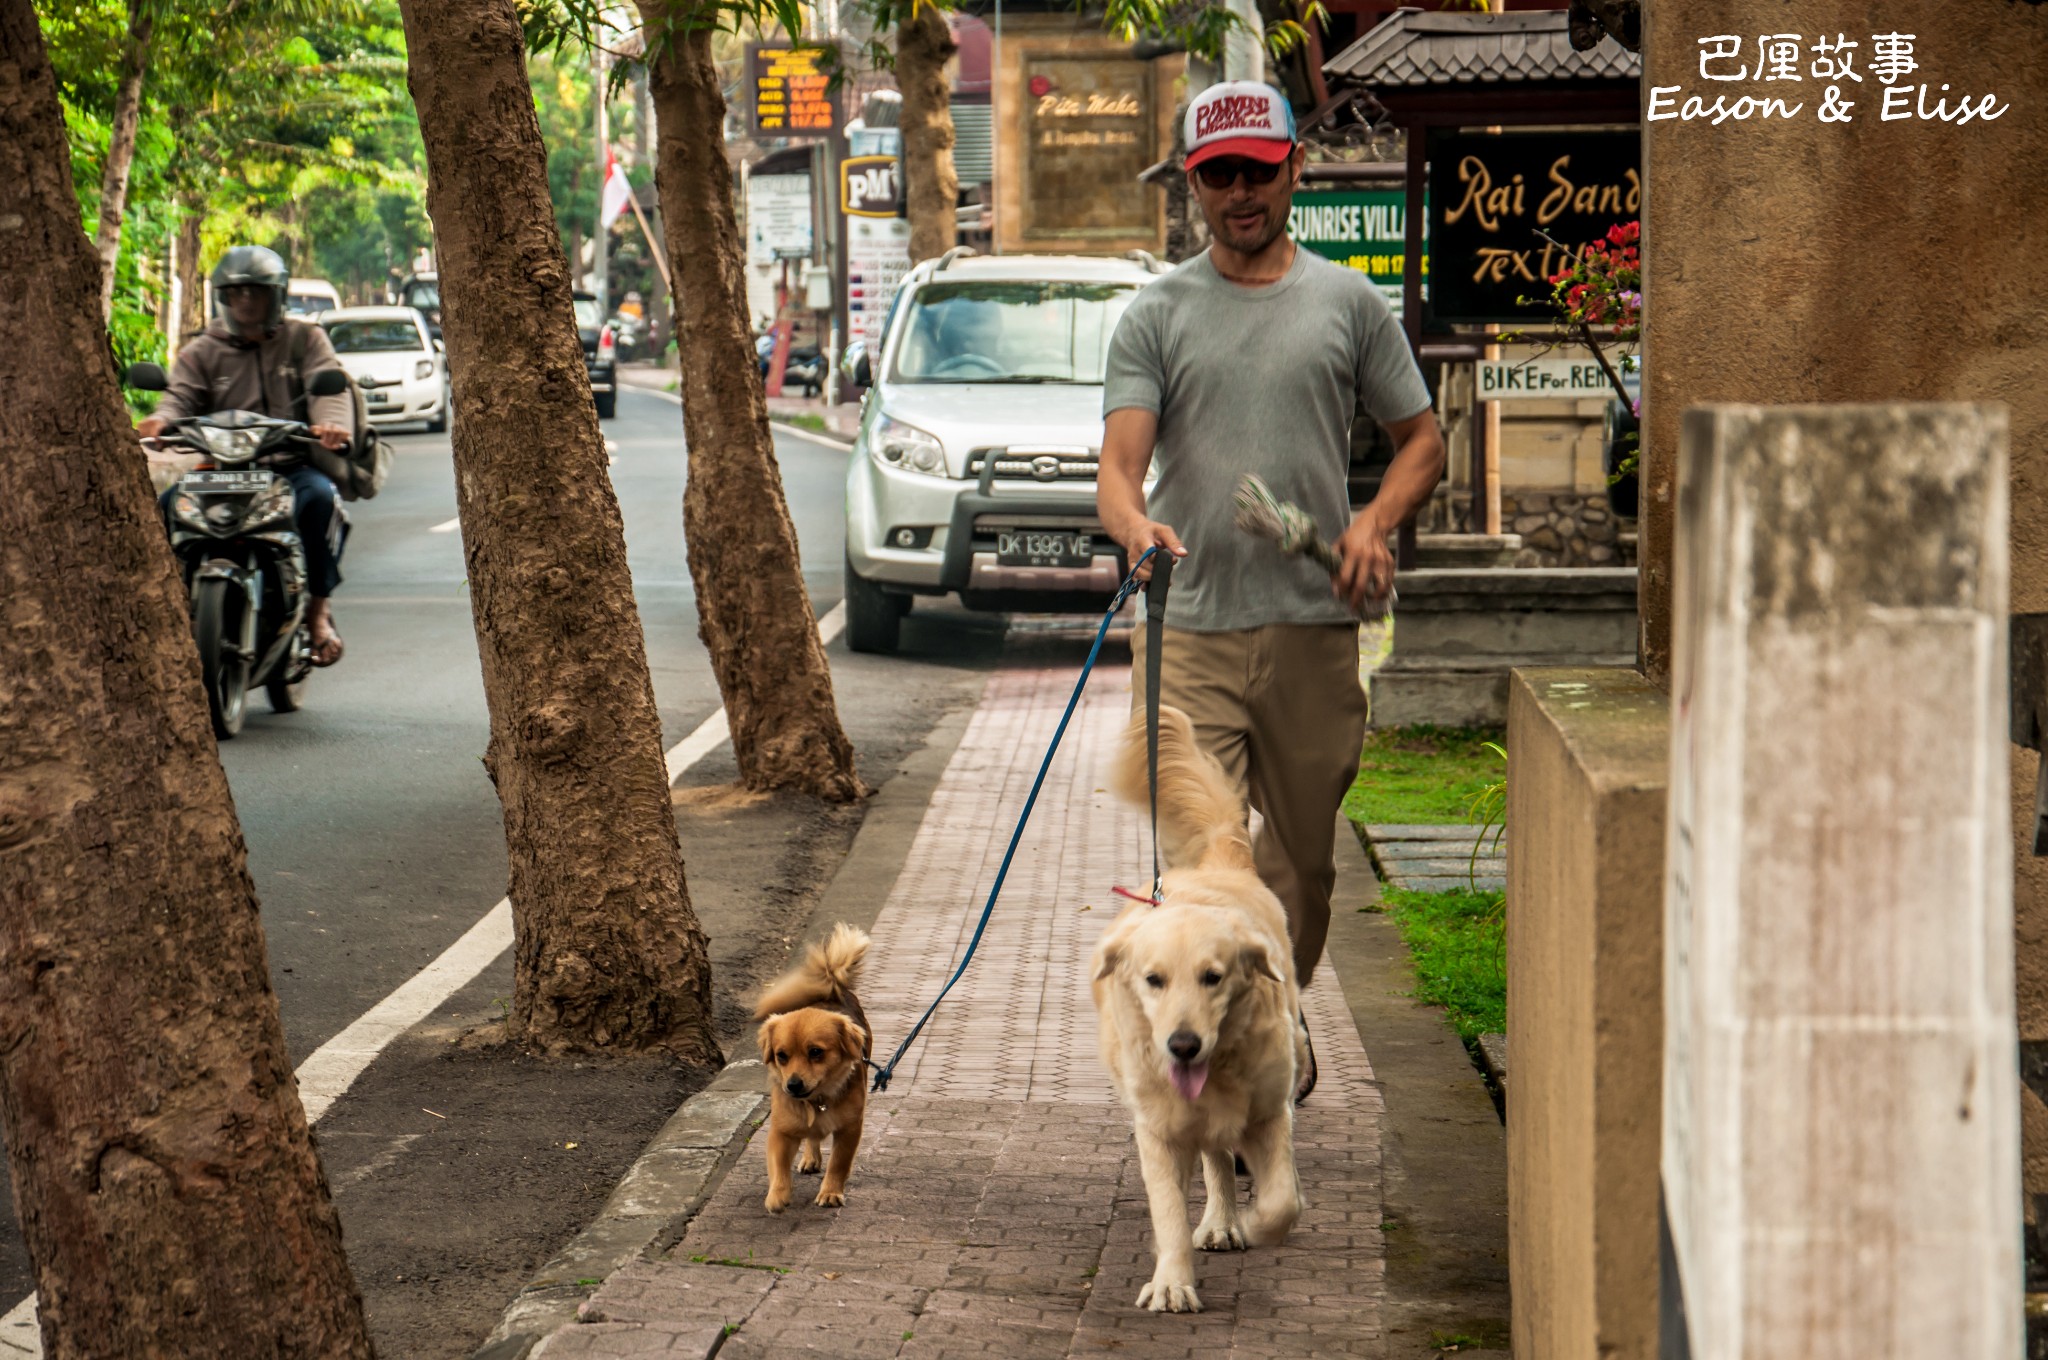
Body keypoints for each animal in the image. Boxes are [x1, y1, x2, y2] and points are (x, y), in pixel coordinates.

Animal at [761, 925, 872, 1212]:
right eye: (781, 1056)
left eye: (815, 1052)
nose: (793, 1085)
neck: (817, 1101)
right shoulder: (781, 1131)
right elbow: (778, 1166)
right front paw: (777, 1195)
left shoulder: (850, 1128)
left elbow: (839, 1164)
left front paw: (831, 1192)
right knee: (811, 1138)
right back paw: (810, 1158)